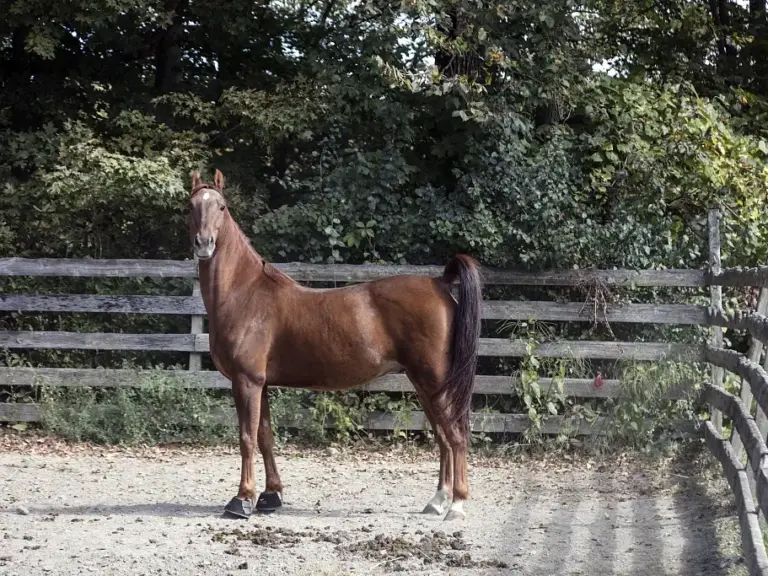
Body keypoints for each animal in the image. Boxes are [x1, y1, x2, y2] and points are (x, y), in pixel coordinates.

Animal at [187, 169, 483, 522]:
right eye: (191, 206)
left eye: (221, 206)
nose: (204, 244)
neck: (245, 294)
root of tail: (440, 283)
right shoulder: (262, 384)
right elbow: (265, 436)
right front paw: (271, 496)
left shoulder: (247, 381)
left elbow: (246, 438)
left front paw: (242, 500)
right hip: (423, 383)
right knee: (443, 437)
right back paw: (437, 500)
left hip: (435, 380)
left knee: (456, 434)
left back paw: (458, 505)